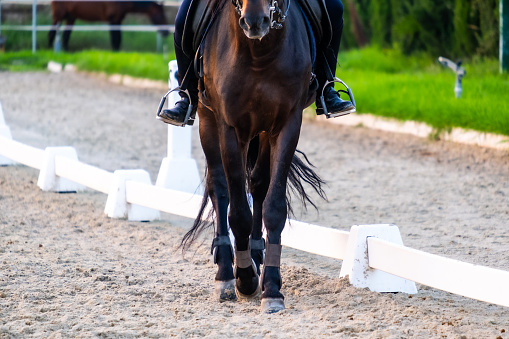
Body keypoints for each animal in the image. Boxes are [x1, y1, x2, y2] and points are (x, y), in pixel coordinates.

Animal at [185, 0, 324, 314]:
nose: (254, 22)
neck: (260, 53)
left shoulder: (287, 124)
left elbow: (273, 206)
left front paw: (271, 287)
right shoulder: (229, 126)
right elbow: (237, 211)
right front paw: (245, 278)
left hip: (261, 132)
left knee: (259, 184)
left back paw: (257, 254)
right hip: (207, 118)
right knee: (219, 187)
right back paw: (226, 274)